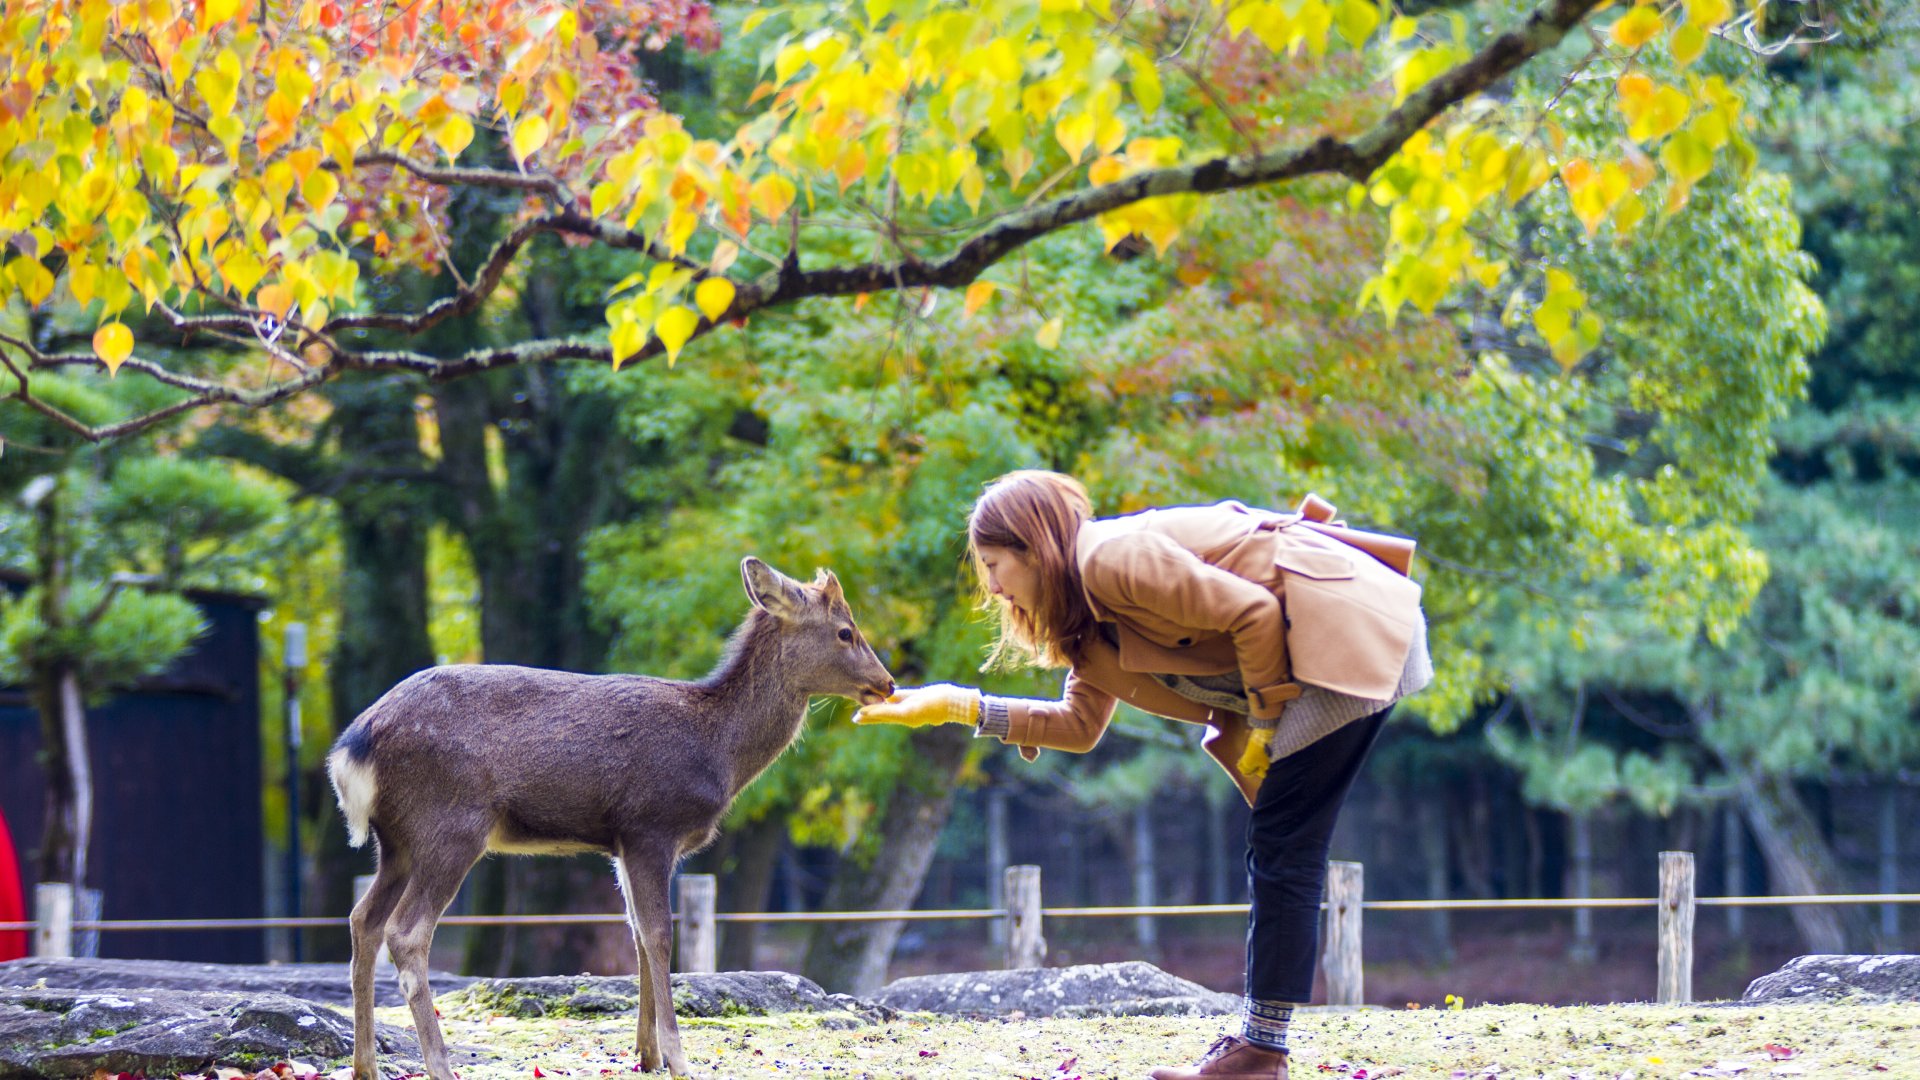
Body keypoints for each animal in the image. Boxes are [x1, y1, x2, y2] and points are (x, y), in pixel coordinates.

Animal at [325, 558, 896, 1080]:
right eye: (846, 630)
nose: (887, 684)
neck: (719, 752)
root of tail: (352, 748)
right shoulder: (651, 826)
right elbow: (660, 936)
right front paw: (678, 1059)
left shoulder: (620, 842)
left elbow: (637, 935)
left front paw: (646, 1054)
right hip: (451, 824)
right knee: (406, 932)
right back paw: (440, 1066)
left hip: (396, 842)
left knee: (361, 920)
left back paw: (365, 1066)